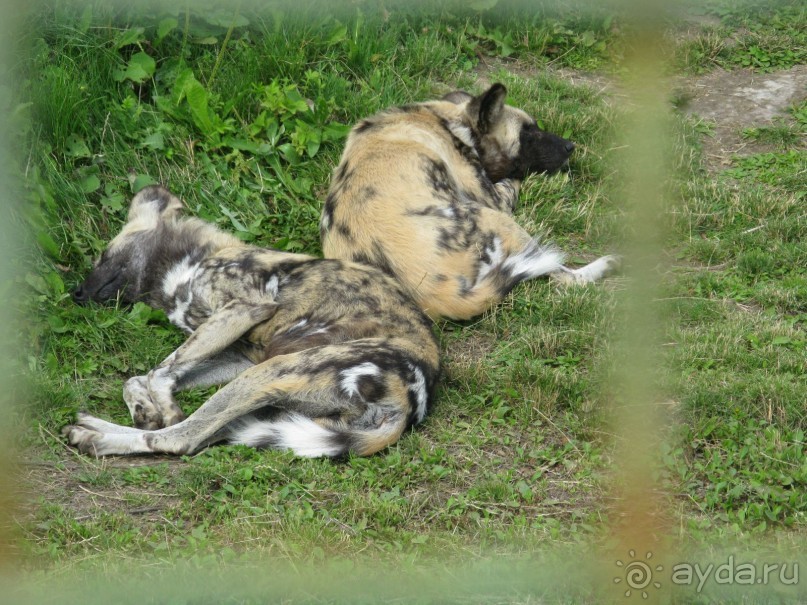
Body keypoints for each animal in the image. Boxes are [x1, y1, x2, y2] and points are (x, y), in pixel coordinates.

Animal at [64, 185, 438, 458]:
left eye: (103, 256)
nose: (76, 293)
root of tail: (412, 400)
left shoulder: (245, 309)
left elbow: (159, 373)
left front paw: (164, 407)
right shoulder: (240, 355)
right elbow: (141, 377)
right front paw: (143, 406)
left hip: (270, 373)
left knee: (181, 439)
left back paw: (97, 437)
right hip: (272, 397)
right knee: (210, 433)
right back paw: (91, 429)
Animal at [318, 83, 620, 324]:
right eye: (527, 134)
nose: (571, 146)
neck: (447, 121)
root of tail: (435, 292)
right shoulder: (494, 199)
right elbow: (513, 179)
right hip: (498, 220)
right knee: (566, 278)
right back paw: (606, 264)